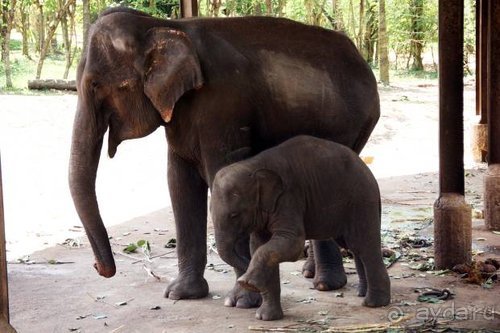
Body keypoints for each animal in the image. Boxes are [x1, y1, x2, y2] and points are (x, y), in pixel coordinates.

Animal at [69, 7, 378, 306]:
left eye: (96, 85)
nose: (100, 269)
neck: (166, 25)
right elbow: (179, 182)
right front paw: (181, 294)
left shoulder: (222, 107)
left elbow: (222, 172)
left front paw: (243, 301)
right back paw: (312, 274)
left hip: (348, 126)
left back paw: (325, 284)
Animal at [211, 134, 390, 320]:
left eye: (234, 215)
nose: (245, 271)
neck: (253, 164)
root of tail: (367, 169)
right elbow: (260, 246)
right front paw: (266, 318)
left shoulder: (289, 198)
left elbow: (291, 245)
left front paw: (248, 283)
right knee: (355, 247)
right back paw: (363, 293)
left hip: (361, 201)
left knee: (365, 246)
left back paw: (374, 303)